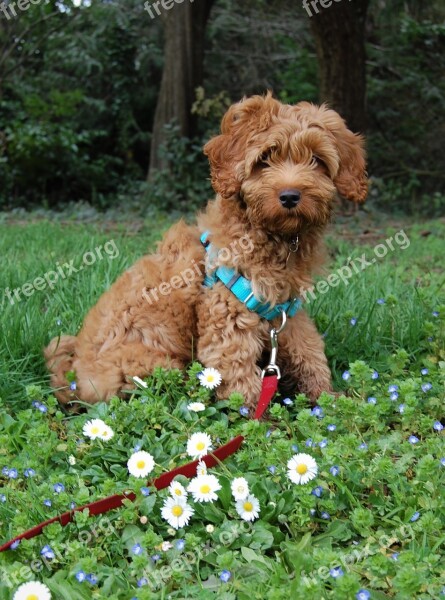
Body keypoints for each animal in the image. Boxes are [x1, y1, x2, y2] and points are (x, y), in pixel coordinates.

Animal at [43, 92, 366, 408]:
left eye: (316, 159)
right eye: (264, 159)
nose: (290, 196)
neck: (272, 236)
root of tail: (75, 376)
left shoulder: (286, 311)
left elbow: (308, 348)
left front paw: (328, 397)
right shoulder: (229, 313)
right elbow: (238, 374)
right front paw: (258, 418)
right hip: (153, 365)